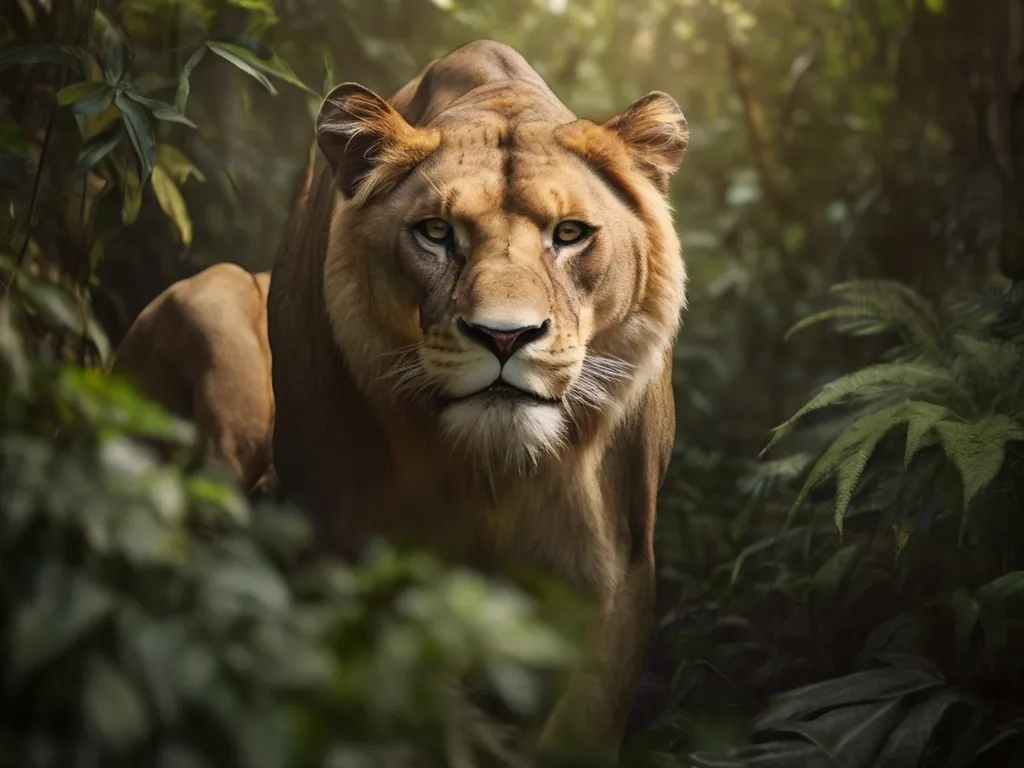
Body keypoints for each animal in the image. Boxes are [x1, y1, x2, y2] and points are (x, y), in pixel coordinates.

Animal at [268, 39, 692, 753]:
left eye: (570, 234)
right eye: (436, 233)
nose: (504, 336)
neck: (493, 472)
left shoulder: (620, 567)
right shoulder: (343, 544)